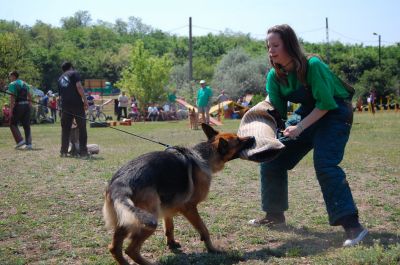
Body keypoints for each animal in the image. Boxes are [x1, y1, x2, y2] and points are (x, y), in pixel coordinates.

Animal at [103, 124, 253, 264]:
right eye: (238, 140)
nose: (253, 137)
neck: (204, 155)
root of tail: (120, 183)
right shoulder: (189, 208)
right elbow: (204, 229)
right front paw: (212, 249)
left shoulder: (168, 207)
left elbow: (169, 227)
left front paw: (171, 244)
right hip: (148, 220)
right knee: (131, 250)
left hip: (127, 219)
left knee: (114, 248)